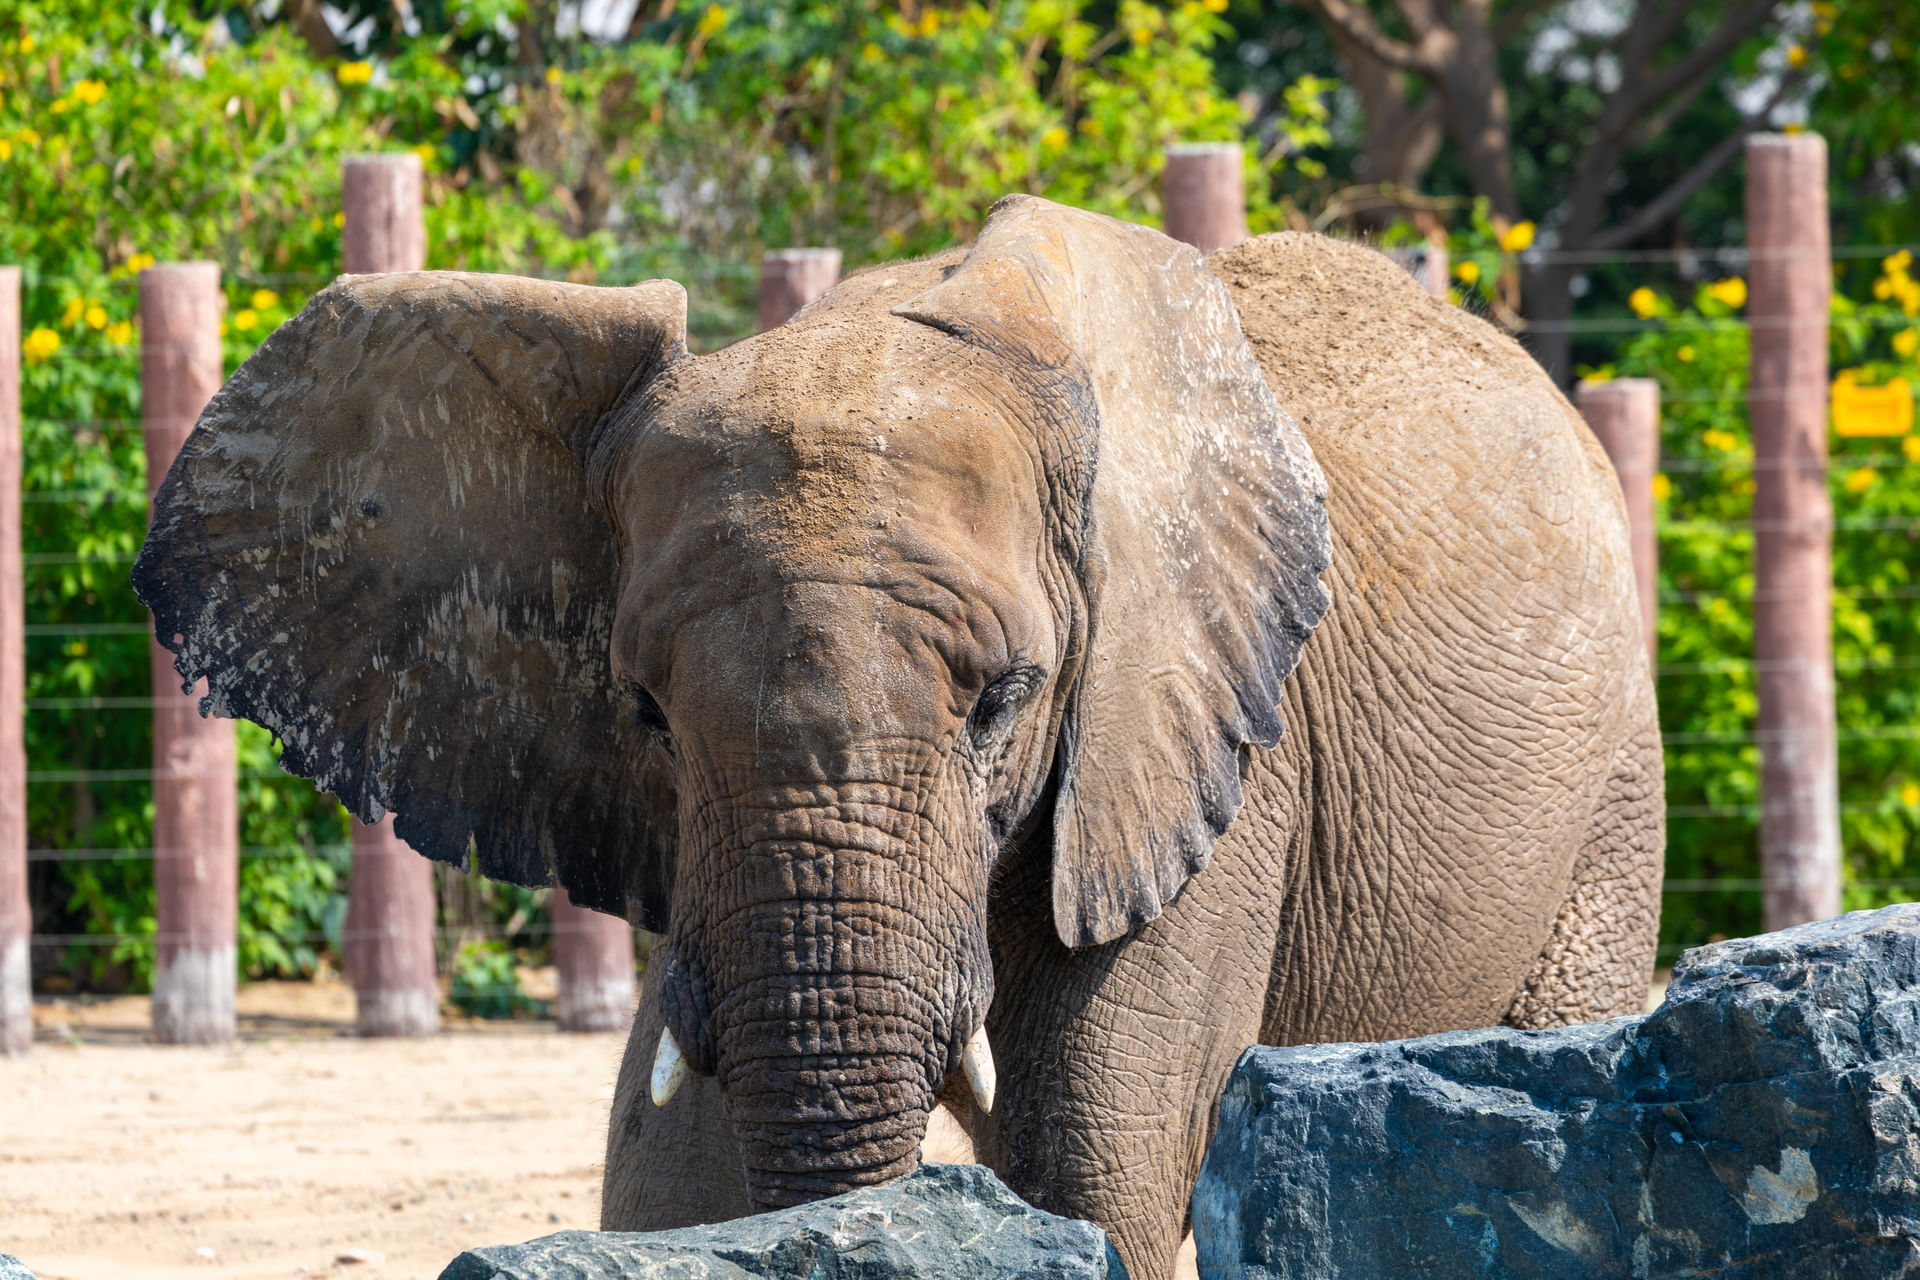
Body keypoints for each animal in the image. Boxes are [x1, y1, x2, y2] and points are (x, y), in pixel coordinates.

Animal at [135, 192, 1666, 1280]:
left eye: (1006, 699)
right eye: (645, 711)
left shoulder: (1210, 745)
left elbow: (1091, 1161)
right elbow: (676, 1164)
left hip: (1613, 789)